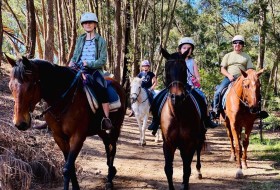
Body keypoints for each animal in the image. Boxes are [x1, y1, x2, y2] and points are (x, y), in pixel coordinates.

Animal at [6, 55, 126, 189]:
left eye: (30, 86)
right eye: (10, 86)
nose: (20, 123)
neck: (63, 101)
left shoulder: (77, 136)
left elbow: (67, 168)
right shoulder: (59, 137)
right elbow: (70, 165)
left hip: (116, 126)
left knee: (113, 147)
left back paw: (110, 179)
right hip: (100, 129)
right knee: (107, 143)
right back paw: (112, 171)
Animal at [161, 49, 205, 190]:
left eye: (184, 69)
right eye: (167, 70)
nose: (177, 97)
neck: (178, 114)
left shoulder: (190, 143)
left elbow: (187, 170)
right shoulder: (168, 144)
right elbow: (168, 169)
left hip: (199, 138)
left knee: (197, 153)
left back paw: (199, 172)